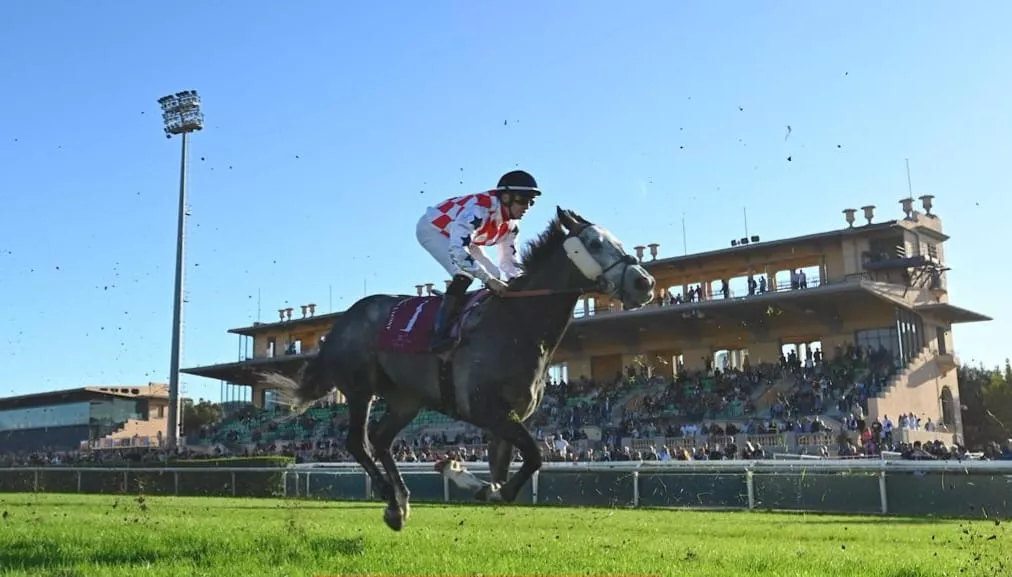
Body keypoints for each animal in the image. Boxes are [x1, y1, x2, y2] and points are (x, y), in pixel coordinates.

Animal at [259, 205, 655, 530]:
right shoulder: (487, 410)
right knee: (358, 442)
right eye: (594, 242)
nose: (645, 282)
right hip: (360, 389)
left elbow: (509, 471)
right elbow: (532, 457)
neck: (516, 324)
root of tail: (340, 326)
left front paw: (472, 479)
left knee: (381, 439)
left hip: (406, 400)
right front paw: (467, 478)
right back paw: (390, 500)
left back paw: (400, 501)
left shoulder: (507, 419)